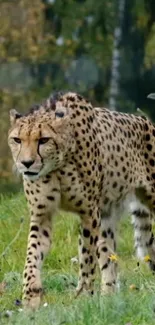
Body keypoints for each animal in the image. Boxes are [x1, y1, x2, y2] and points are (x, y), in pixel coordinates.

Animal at [8, 91, 155, 308]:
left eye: (43, 140)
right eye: (17, 139)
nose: (26, 163)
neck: (57, 166)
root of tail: (146, 120)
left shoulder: (89, 213)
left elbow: (86, 256)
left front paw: (83, 295)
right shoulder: (42, 214)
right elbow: (32, 256)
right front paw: (30, 297)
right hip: (107, 217)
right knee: (109, 257)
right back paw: (108, 297)